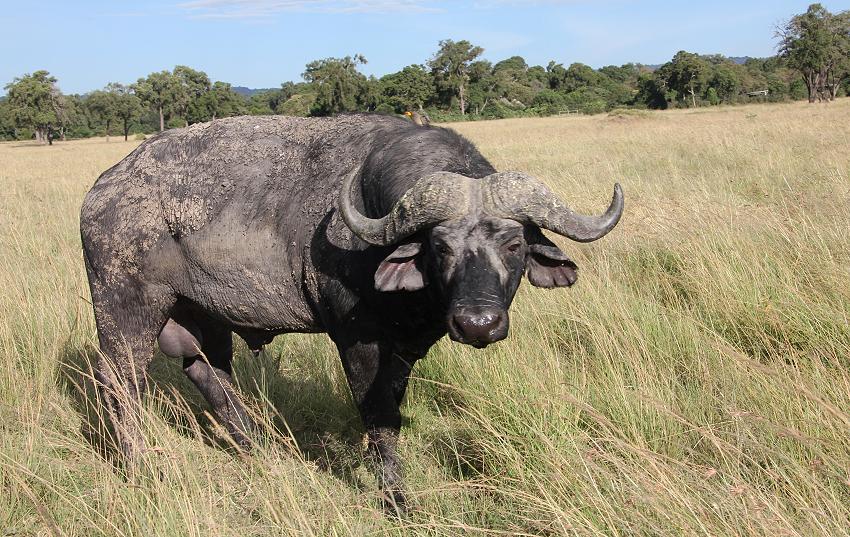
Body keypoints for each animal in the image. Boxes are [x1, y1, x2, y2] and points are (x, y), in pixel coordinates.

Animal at [81, 113, 624, 506]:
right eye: (440, 246)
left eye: (514, 245)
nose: (477, 323)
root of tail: (104, 189)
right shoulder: (357, 341)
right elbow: (380, 416)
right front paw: (396, 498)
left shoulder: (403, 350)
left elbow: (393, 405)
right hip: (125, 309)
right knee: (120, 383)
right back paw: (139, 467)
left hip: (202, 317)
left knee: (210, 373)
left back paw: (257, 447)